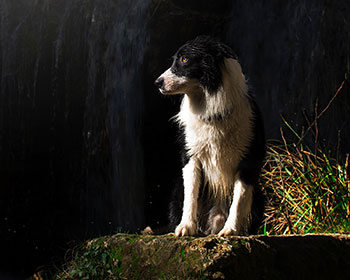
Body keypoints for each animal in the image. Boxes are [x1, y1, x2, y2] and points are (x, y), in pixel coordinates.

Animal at [154, 35, 266, 236]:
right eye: (175, 59)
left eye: (184, 59)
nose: (157, 82)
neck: (211, 111)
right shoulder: (191, 155)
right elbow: (191, 194)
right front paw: (186, 227)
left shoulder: (250, 159)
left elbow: (239, 198)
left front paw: (231, 230)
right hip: (176, 190)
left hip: (260, 197)